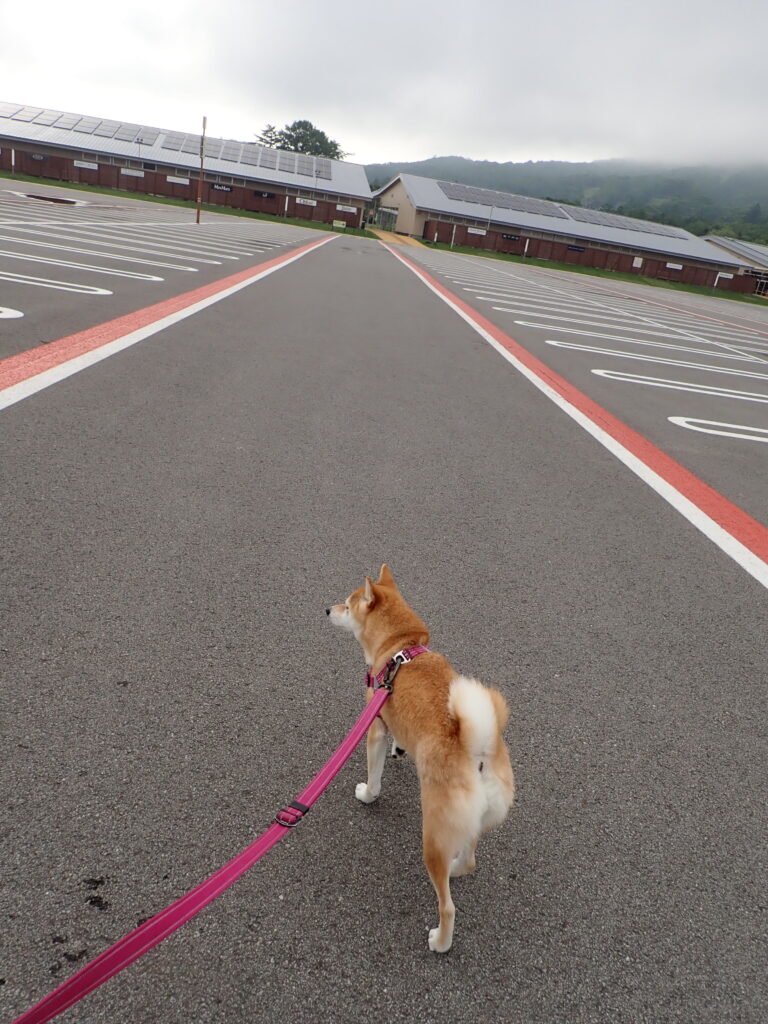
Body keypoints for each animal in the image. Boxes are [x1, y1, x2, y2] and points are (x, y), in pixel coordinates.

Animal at [326, 564, 515, 952]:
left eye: (347, 606)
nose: (327, 609)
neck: (400, 646)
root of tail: (479, 752)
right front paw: (401, 749)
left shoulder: (375, 727)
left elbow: (375, 775)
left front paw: (368, 794)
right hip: (473, 821)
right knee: (469, 859)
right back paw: (457, 868)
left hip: (433, 836)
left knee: (448, 907)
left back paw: (440, 941)